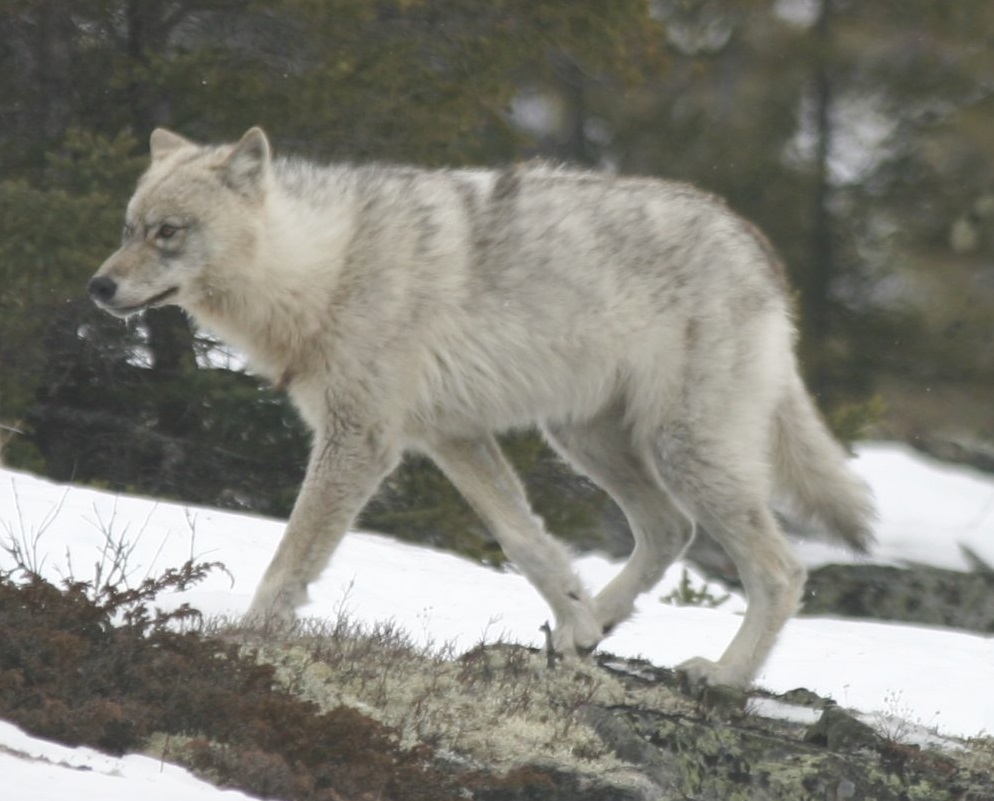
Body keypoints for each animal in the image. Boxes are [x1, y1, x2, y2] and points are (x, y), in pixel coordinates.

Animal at [89, 127, 875, 688]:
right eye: (127, 228)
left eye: (167, 232)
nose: (98, 286)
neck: (323, 269)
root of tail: (756, 245)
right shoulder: (451, 436)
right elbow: (526, 541)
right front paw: (575, 618)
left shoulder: (362, 440)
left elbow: (290, 558)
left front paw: (245, 636)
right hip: (586, 440)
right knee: (668, 531)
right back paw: (595, 627)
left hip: (681, 450)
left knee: (780, 570)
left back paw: (725, 677)